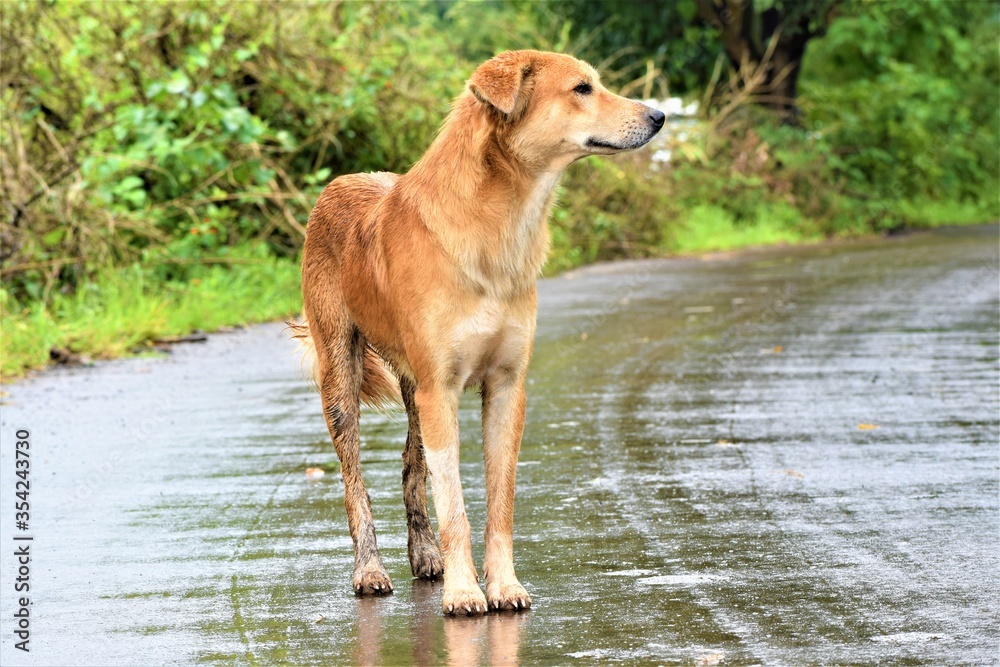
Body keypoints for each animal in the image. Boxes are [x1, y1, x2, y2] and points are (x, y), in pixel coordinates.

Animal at [290, 49, 664, 620]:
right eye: (582, 89)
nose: (660, 116)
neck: (497, 222)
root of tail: (339, 181)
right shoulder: (440, 389)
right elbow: (456, 507)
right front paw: (464, 593)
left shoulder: (506, 386)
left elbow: (498, 503)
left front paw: (503, 584)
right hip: (342, 377)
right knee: (356, 483)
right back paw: (370, 570)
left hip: (412, 389)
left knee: (410, 465)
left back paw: (424, 553)